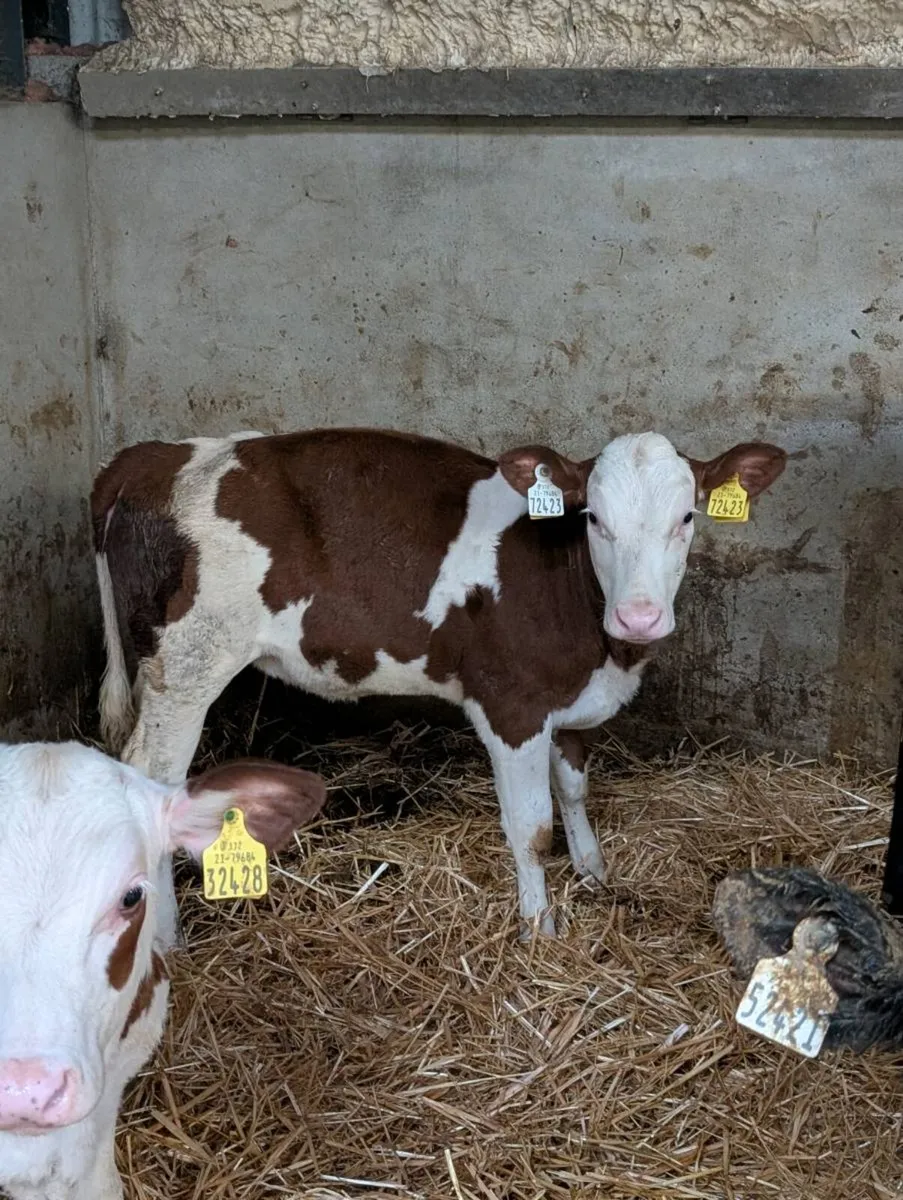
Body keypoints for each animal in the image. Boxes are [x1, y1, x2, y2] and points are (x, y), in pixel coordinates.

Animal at [92, 427, 786, 936]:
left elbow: (574, 789)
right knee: (150, 777)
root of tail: (151, 455)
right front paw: (539, 927)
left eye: (688, 517)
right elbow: (532, 827)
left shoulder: (569, 702)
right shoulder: (511, 706)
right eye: (593, 519)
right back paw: (164, 939)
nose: (639, 615)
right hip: (187, 665)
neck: (600, 646)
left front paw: (593, 870)